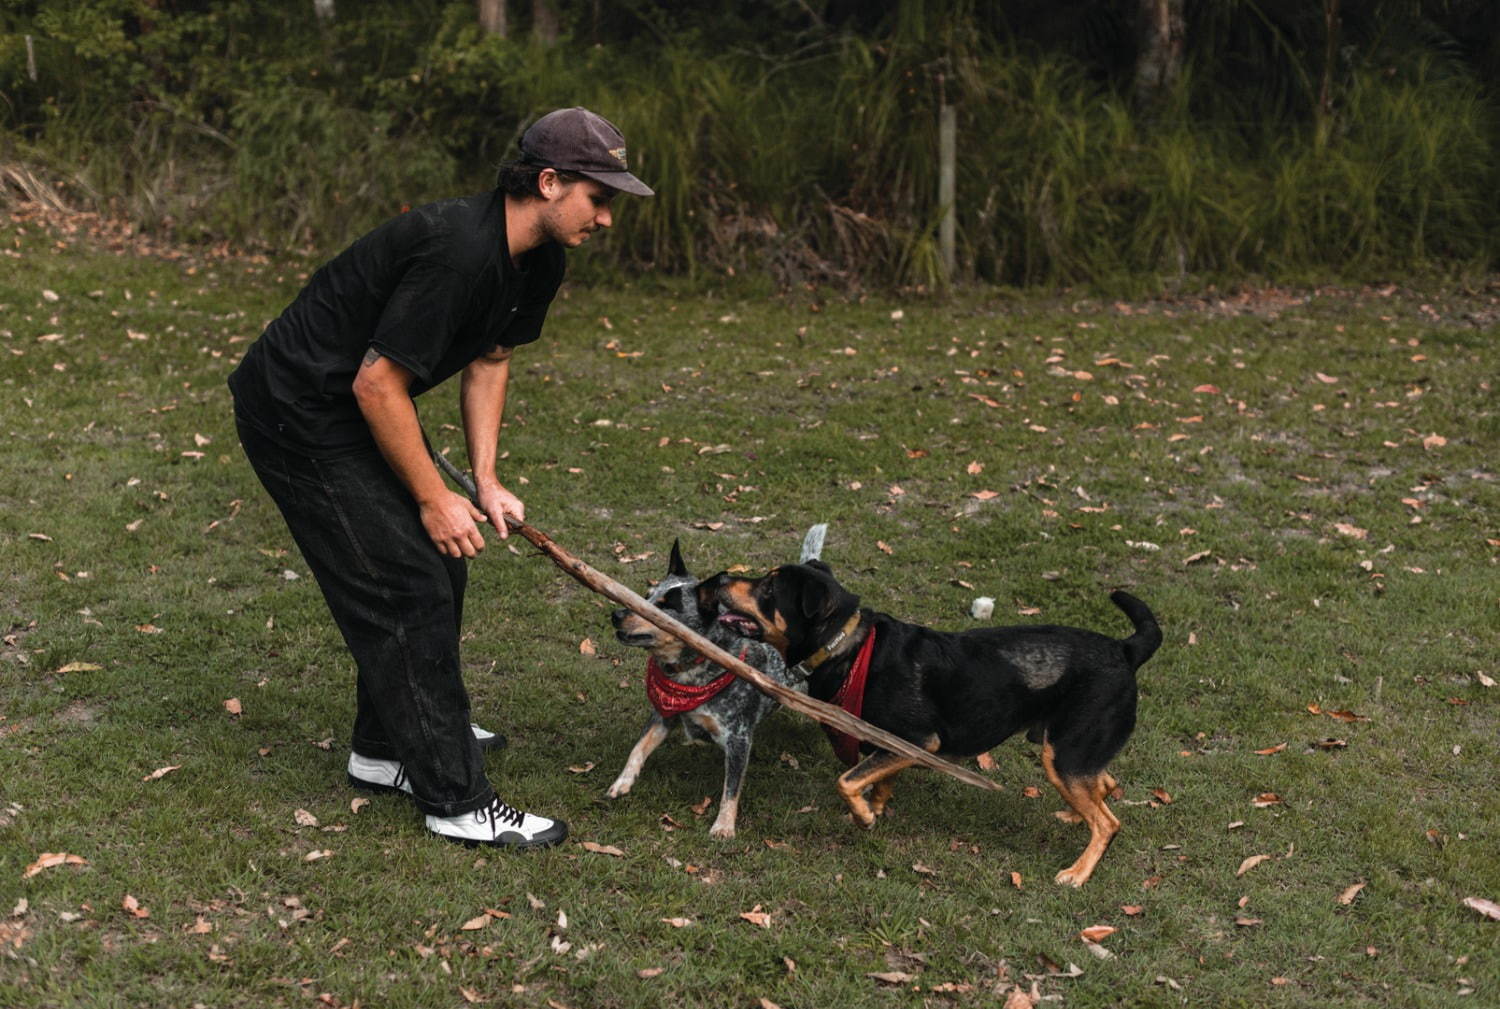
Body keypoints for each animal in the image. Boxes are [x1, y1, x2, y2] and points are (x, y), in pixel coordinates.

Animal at [702, 563, 1158, 887]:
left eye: (768, 588)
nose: (722, 578)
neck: (849, 648)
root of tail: (1125, 649)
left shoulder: (918, 740)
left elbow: (846, 781)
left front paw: (863, 818)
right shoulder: (889, 745)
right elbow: (877, 782)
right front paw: (874, 809)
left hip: (1065, 754)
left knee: (1109, 822)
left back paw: (1077, 873)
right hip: (1070, 752)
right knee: (1105, 784)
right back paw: (1074, 816)